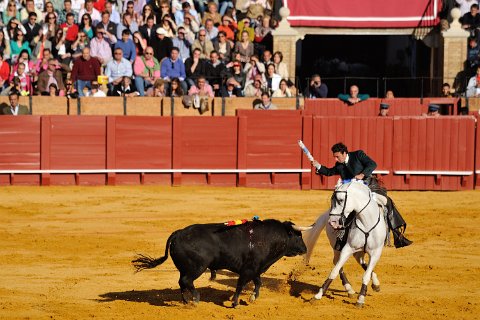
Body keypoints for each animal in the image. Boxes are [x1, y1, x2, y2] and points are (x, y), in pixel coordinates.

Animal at [131, 219, 308, 306]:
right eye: (298, 236)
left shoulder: (255, 269)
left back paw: (186, 300)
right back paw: (195, 299)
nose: (305, 249)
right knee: (186, 281)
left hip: (185, 268)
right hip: (197, 267)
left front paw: (252, 298)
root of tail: (178, 233)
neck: (269, 238)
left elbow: (258, 283)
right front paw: (235, 303)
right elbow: (240, 285)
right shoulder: (248, 269)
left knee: (181, 282)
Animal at [304, 180, 386, 308]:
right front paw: (317, 296)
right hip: (336, 246)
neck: (366, 223)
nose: (332, 222)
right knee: (337, 262)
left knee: (363, 263)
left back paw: (375, 284)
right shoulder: (347, 249)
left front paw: (361, 299)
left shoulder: (376, 253)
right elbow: (334, 271)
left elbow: (366, 275)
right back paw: (350, 289)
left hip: (360, 251)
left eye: (341, 200)